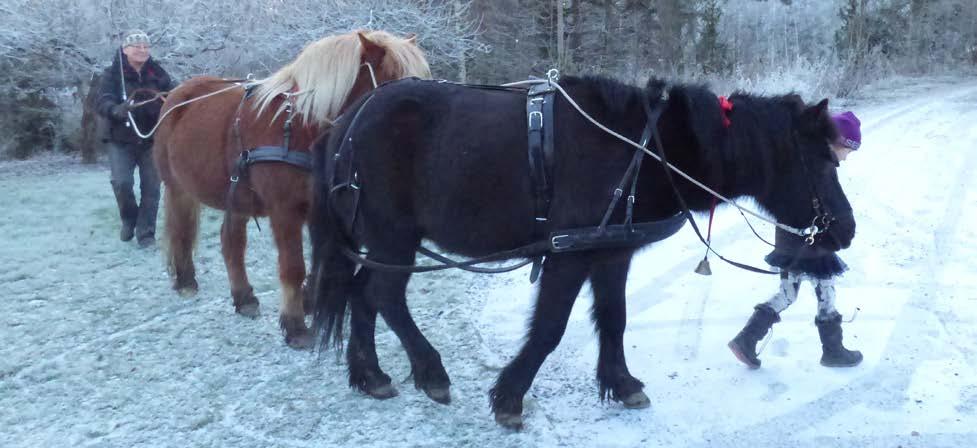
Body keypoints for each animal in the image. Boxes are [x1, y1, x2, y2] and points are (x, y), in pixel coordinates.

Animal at [152, 29, 428, 348]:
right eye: (393, 81)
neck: (300, 127)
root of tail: (177, 94)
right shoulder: (285, 211)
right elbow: (293, 266)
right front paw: (295, 325)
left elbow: (319, 264)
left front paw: (309, 302)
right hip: (177, 189)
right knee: (180, 232)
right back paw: (185, 280)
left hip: (237, 196)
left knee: (231, 242)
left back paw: (244, 298)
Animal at [310, 75, 856, 428]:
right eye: (821, 162)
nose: (846, 229)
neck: (642, 149)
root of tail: (348, 120)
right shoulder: (568, 255)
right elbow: (550, 328)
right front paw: (510, 396)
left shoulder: (612, 253)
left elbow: (614, 318)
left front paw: (622, 383)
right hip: (394, 236)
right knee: (385, 295)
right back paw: (430, 372)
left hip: (378, 239)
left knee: (363, 294)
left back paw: (371, 375)